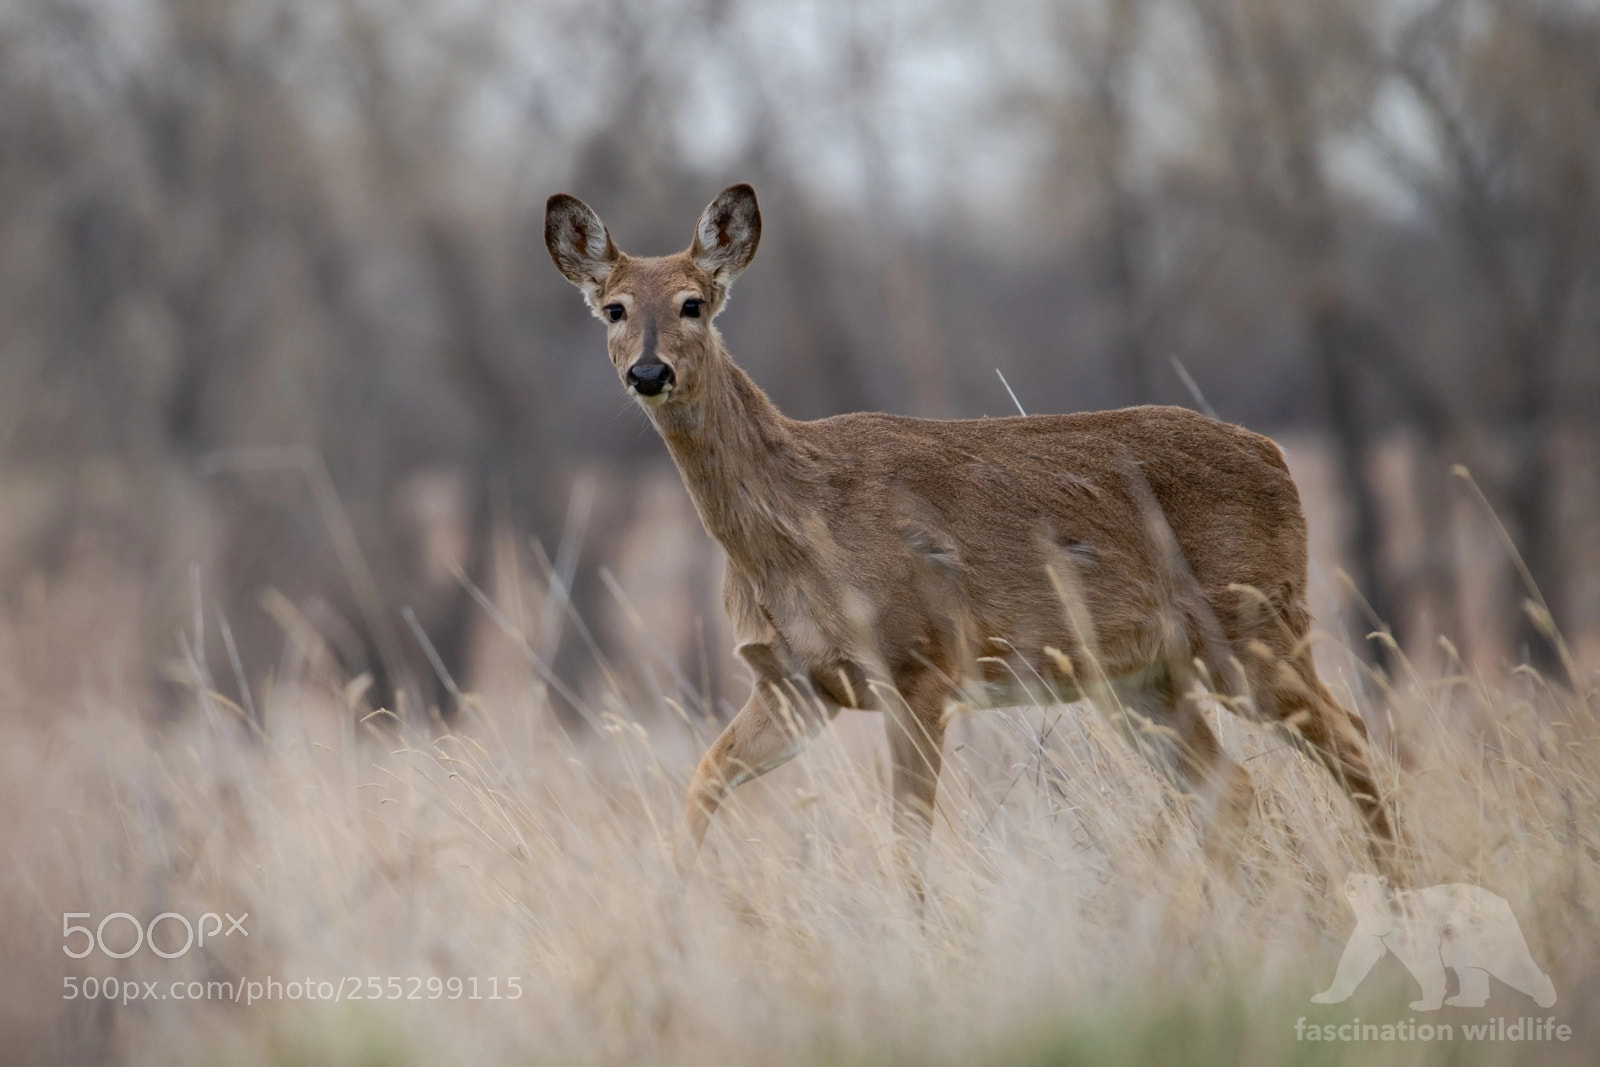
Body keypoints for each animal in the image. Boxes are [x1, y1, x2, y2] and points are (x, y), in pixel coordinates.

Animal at [545, 183, 1401, 888]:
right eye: (615, 308)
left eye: (695, 302)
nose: (649, 373)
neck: (795, 530)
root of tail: (1275, 454)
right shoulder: (793, 682)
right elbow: (703, 782)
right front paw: (671, 915)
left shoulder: (919, 660)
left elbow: (907, 843)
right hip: (1141, 677)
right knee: (1234, 785)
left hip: (1253, 622)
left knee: (1352, 736)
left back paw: (1396, 892)